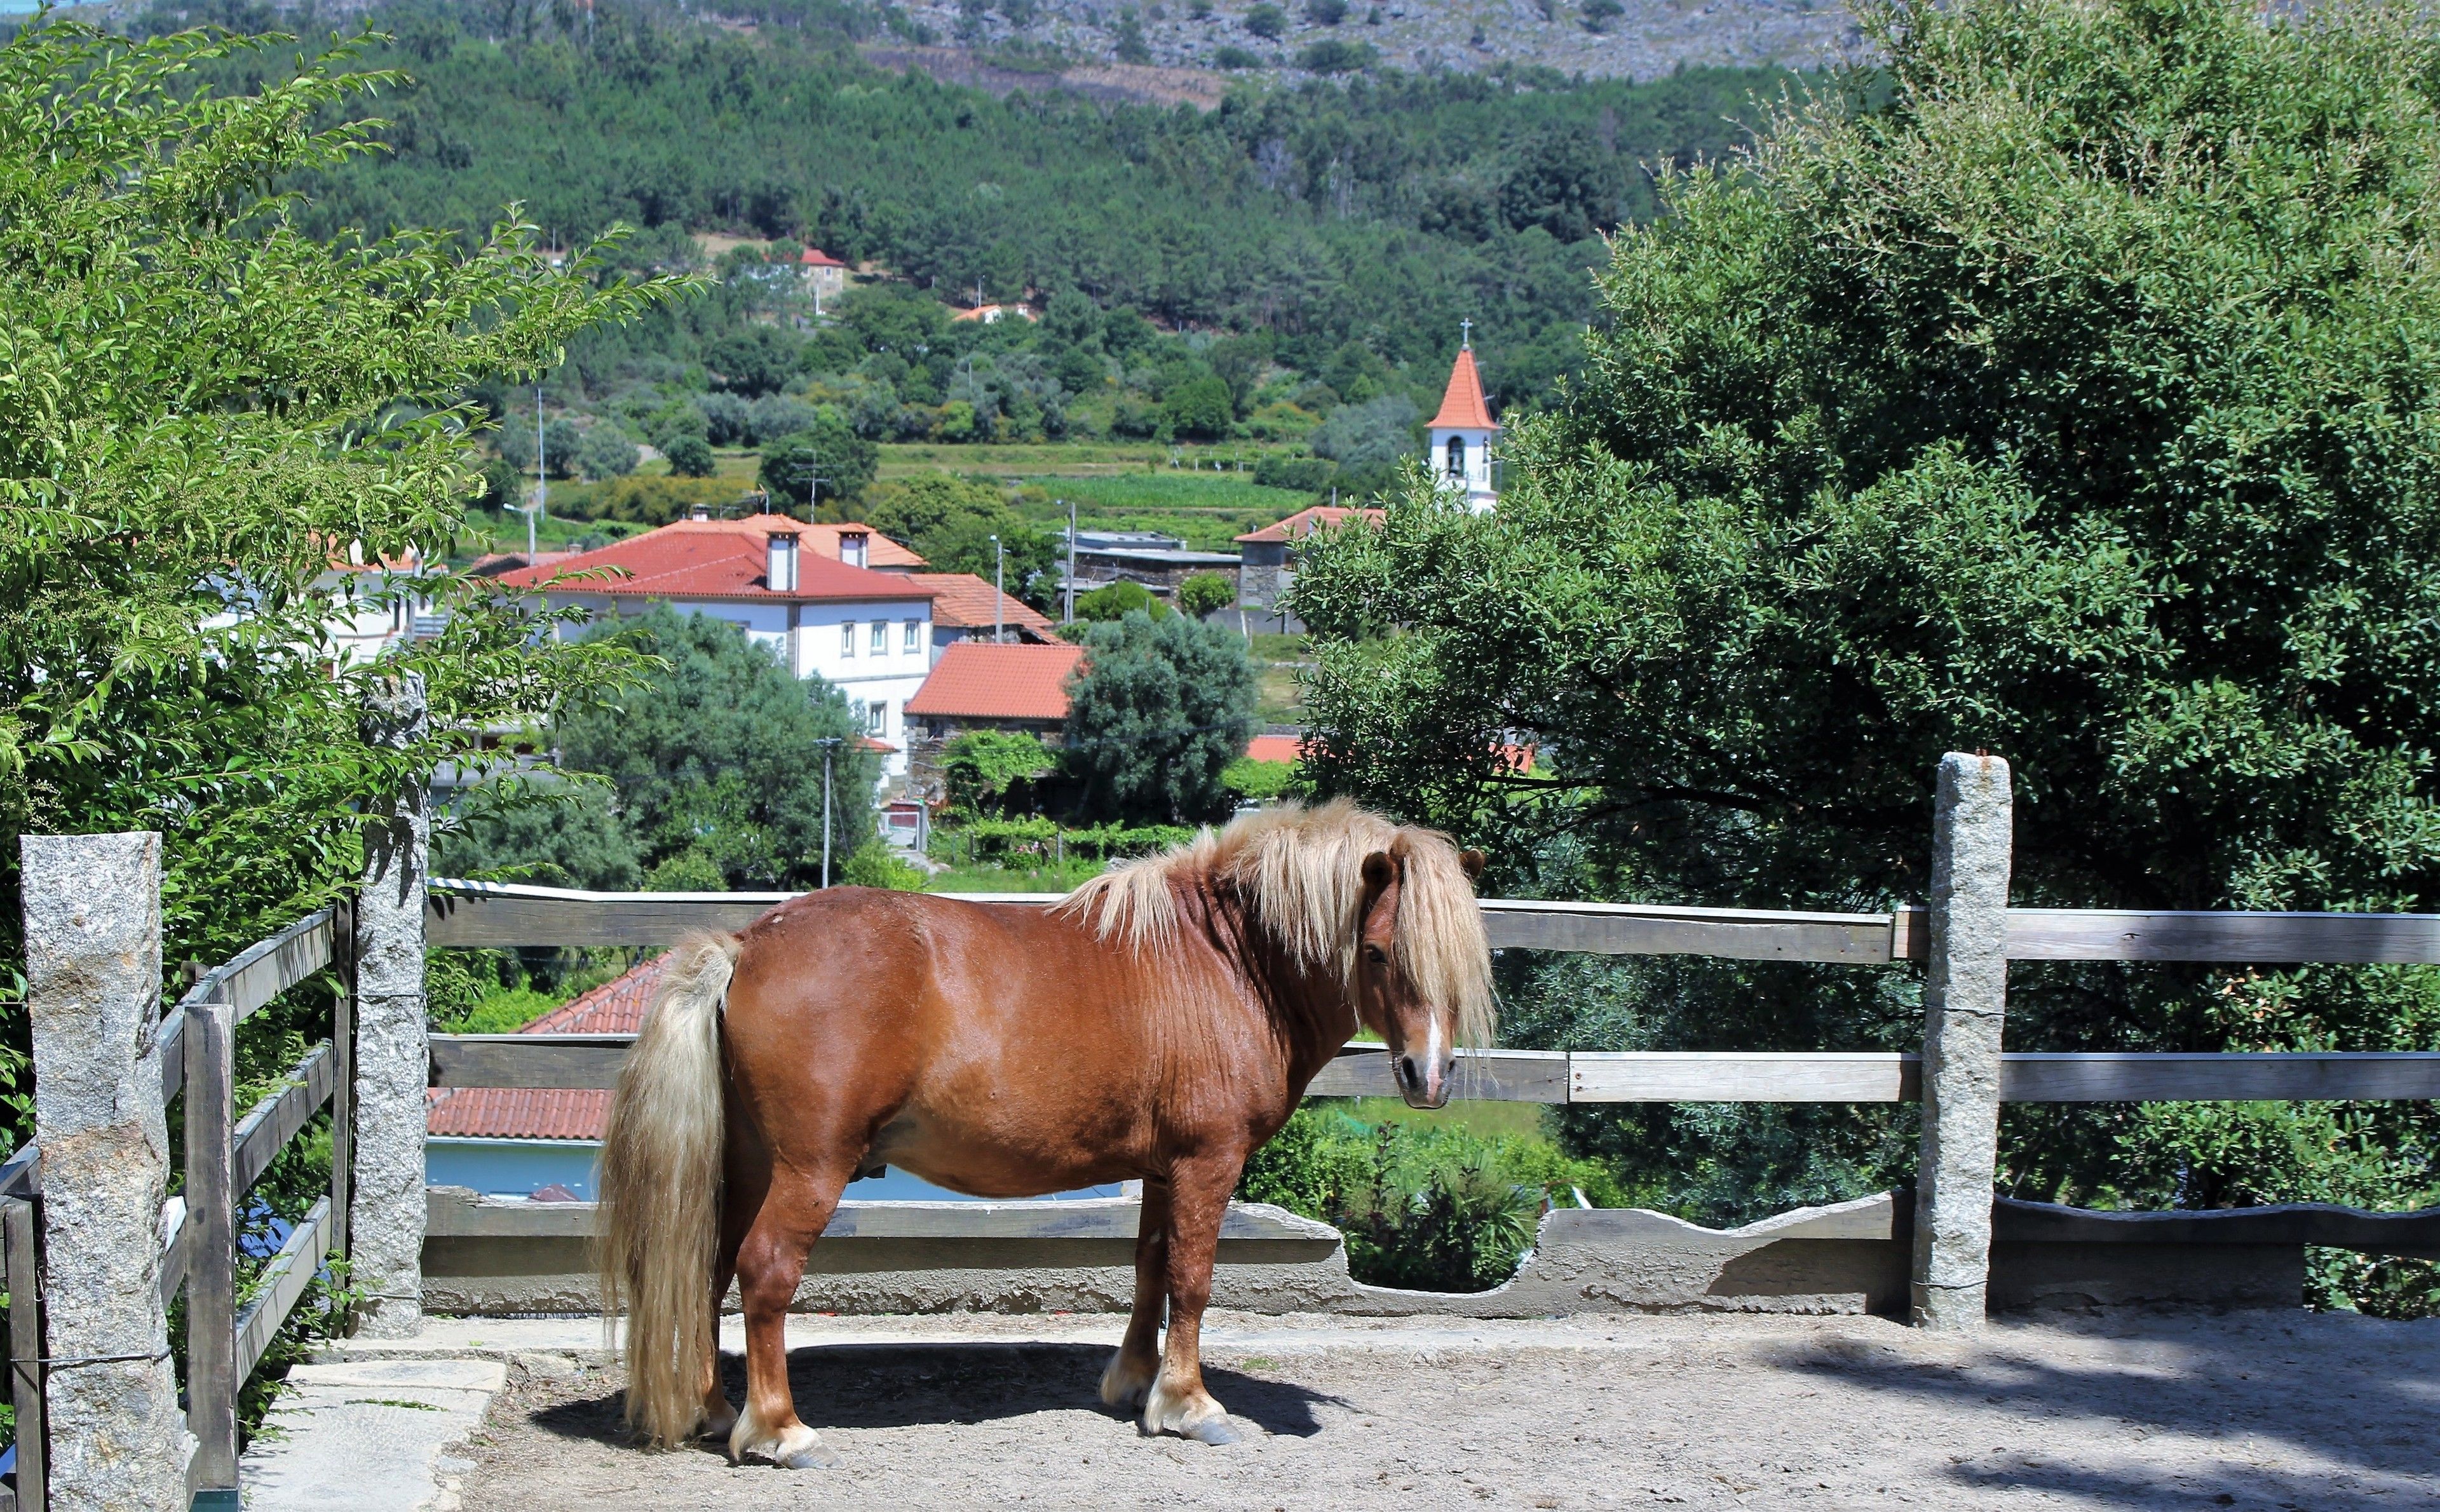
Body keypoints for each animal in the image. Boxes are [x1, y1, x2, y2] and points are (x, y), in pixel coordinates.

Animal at [595, 799, 1494, 1467]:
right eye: (1375, 951)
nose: (1428, 1076)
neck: (1227, 962)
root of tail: (746, 944)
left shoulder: (1163, 1168)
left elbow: (1151, 1267)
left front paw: (1135, 1385)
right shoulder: (1209, 1161)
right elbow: (1194, 1279)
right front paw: (1191, 1404)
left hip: (750, 1164)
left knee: (710, 1266)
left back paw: (715, 1409)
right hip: (810, 1167)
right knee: (765, 1271)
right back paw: (778, 1428)